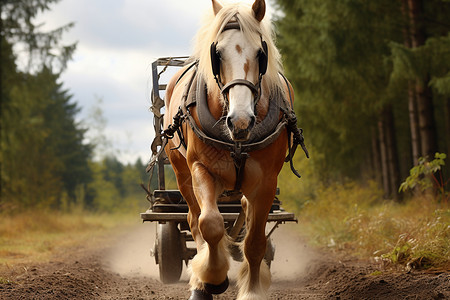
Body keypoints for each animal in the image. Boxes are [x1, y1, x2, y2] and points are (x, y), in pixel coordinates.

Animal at [161, 1, 306, 298]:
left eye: (261, 53)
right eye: (217, 53)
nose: (240, 120)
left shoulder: (266, 182)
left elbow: (255, 242)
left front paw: (251, 289)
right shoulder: (200, 169)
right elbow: (210, 224)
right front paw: (212, 278)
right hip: (182, 174)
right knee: (193, 219)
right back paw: (199, 280)